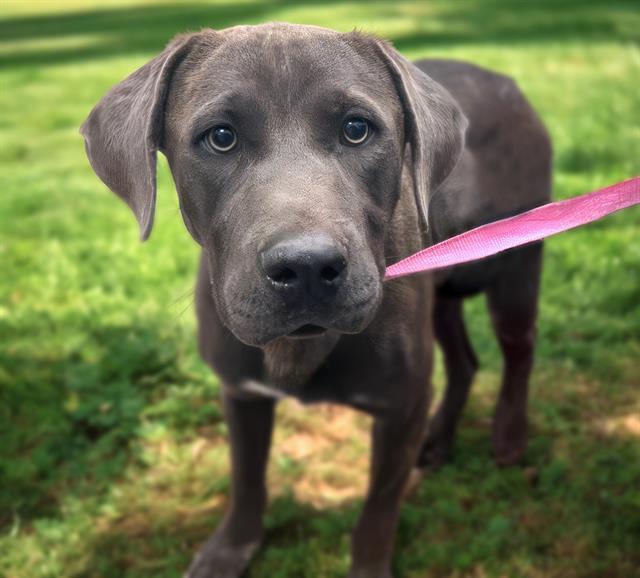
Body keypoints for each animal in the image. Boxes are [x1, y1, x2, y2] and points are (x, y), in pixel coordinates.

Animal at [80, 22, 552, 576]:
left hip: (515, 266)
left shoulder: (401, 407)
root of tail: (504, 80)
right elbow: (247, 480)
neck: (300, 347)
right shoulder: (241, 394)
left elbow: (377, 513)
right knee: (465, 360)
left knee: (518, 351)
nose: (306, 266)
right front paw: (229, 550)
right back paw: (439, 441)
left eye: (357, 129)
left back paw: (509, 435)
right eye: (220, 137)